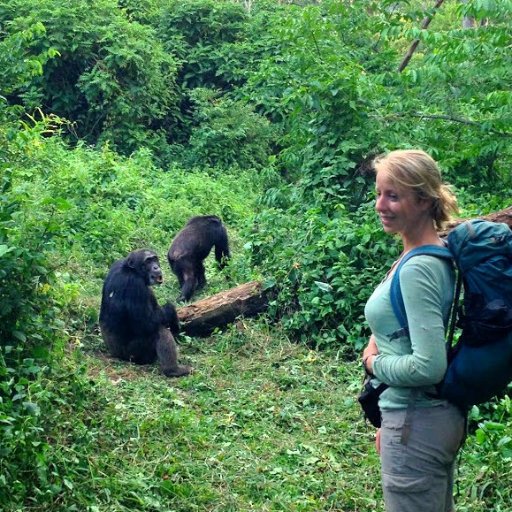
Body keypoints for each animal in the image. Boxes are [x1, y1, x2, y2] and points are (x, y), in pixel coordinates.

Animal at [99, 250, 191, 378]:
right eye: (148, 261)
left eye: (154, 259)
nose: (156, 267)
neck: (132, 270)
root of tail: (115, 355)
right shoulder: (136, 286)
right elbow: (146, 323)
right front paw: (171, 311)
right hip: (135, 354)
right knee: (160, 331)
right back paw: (173, 370)